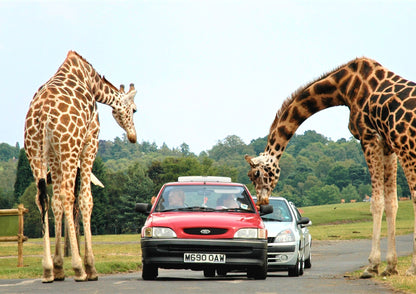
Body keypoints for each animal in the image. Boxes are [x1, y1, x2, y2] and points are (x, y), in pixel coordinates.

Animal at [24, 51, 138, 282]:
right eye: (134, 110)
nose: (133, 136)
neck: (92, 83)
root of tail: (42, 115)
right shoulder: (90, 141)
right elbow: (86, 199)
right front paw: (90, 267)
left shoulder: (54, 154)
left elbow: (56, 202)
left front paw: (59, 267)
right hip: (70, 147)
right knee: (68, 195)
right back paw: (78, 269)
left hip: (35, 150)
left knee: (42, 198)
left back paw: (47, 270)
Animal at [245, 56, 416, 278]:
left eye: (256, 174)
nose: (262, 202)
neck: (343, 88)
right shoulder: (387, 145)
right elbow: (391, 202)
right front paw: (390, 266)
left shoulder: (369, 138)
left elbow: (376, 202)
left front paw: (372, 266)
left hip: (408, 147)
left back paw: (411, 268)